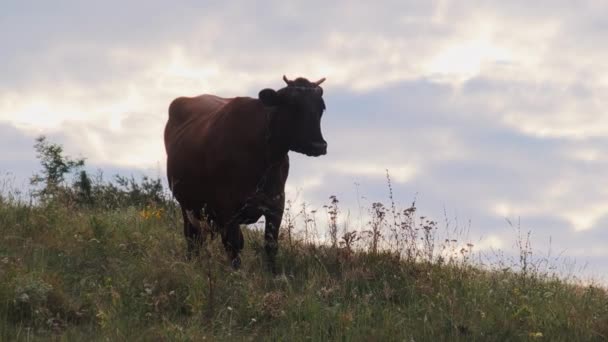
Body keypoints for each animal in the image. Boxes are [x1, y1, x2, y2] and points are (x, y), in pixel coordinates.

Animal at [164, 76, 328, 272]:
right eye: (293, 106)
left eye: (321, 107)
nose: (319, 145)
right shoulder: (226, 207)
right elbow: (233, 244)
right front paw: (237, 275)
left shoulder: (275, 204)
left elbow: (270, 245)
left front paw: (273, 274)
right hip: (188, 204)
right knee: (193, 237)